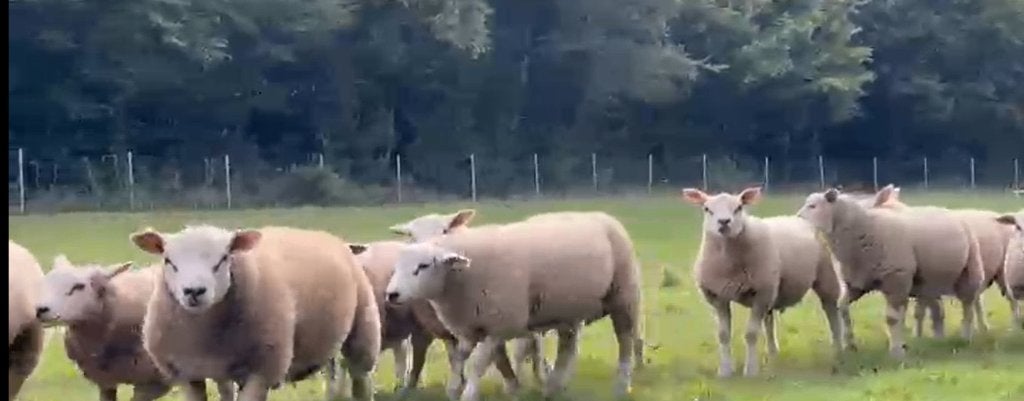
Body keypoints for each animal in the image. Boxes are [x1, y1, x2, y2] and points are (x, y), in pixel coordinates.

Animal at [130, 225, 381, 401]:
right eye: (168, 260)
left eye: (224, 258)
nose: (194, 291)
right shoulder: (187, 375)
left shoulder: (261, 373)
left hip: (363, 331)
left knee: (361, 381)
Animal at [383, 211, 642, 401]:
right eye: (398, 264)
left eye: (424, 266)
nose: (391, 294)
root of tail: (600, 215)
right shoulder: (467, 328)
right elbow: (460, 359)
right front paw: (455, 389)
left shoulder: (499, 325)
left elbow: (478, 363)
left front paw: (471, 394)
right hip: (566, 309)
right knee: (567, 346)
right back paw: (553, 387)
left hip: (623, 296)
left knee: (626, 340)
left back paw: (622, 385)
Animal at [682, 187, 845, 377]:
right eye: (707, 209)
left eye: (739, 207)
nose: (724, 222)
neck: (729, 262)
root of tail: (798, 218)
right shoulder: (718, 297)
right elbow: (723, 335)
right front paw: (725, 370)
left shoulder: (760, 294)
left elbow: (751, 334)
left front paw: (751, 370)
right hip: (771, 288)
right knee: (769, 319)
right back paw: (773, 352)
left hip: (824, 275)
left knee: (831, 310)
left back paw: (838, 347)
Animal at [797, 185, 984, 359]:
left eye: (813, 206)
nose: (797, 219)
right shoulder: (856, 283)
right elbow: (842, 307)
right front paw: (850, 344)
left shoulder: (896, 280)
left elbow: (893, 318)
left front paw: (896, 351)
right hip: (928, 282)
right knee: (938, 310)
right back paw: (939, 339)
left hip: (969, 271)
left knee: (968, 306)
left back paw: (965, 337)